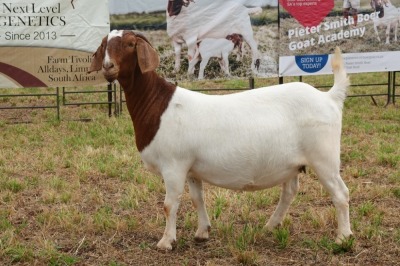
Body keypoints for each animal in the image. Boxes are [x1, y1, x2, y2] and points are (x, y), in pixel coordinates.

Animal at [88, 30, 354, 250]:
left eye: (130, 44)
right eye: (104, 44)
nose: (108, 66)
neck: (158, 104)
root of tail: (329, 97)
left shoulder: (173, 165)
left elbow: (169, 204)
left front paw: (166, 242)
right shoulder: (191, 168)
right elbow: (197, 199)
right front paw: (202, 232)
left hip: (324, 157)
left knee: (340, 193)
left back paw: (343, 238)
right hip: (292, 163)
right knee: (289, 191)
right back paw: (270, 225)